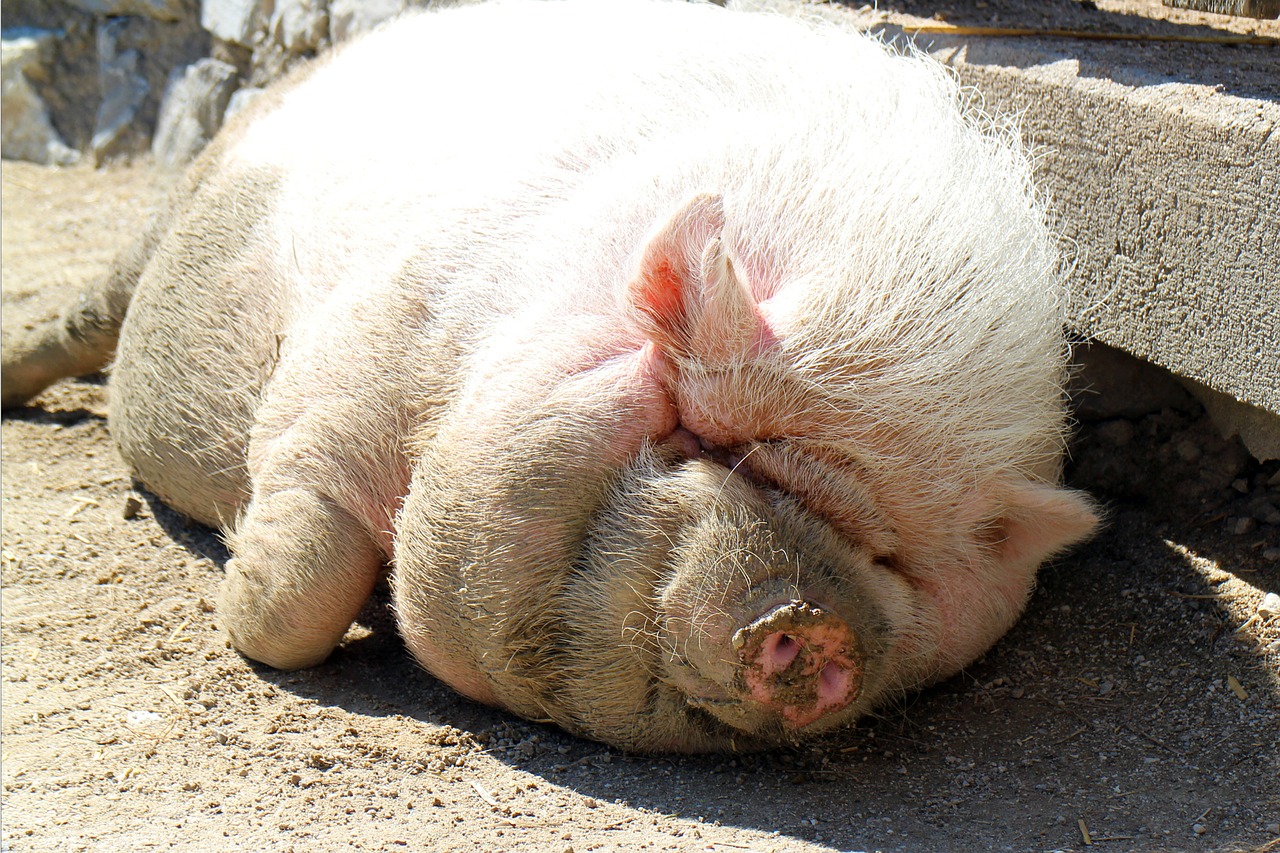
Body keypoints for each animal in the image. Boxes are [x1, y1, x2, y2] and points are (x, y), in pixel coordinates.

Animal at [0, 0, 1100, 747]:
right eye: (708, 444)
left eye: (890, 556)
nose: (816, 625)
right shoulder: (354, 369)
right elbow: (296, 597)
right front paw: (240, 607)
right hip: (178, 203)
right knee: (90, 311)